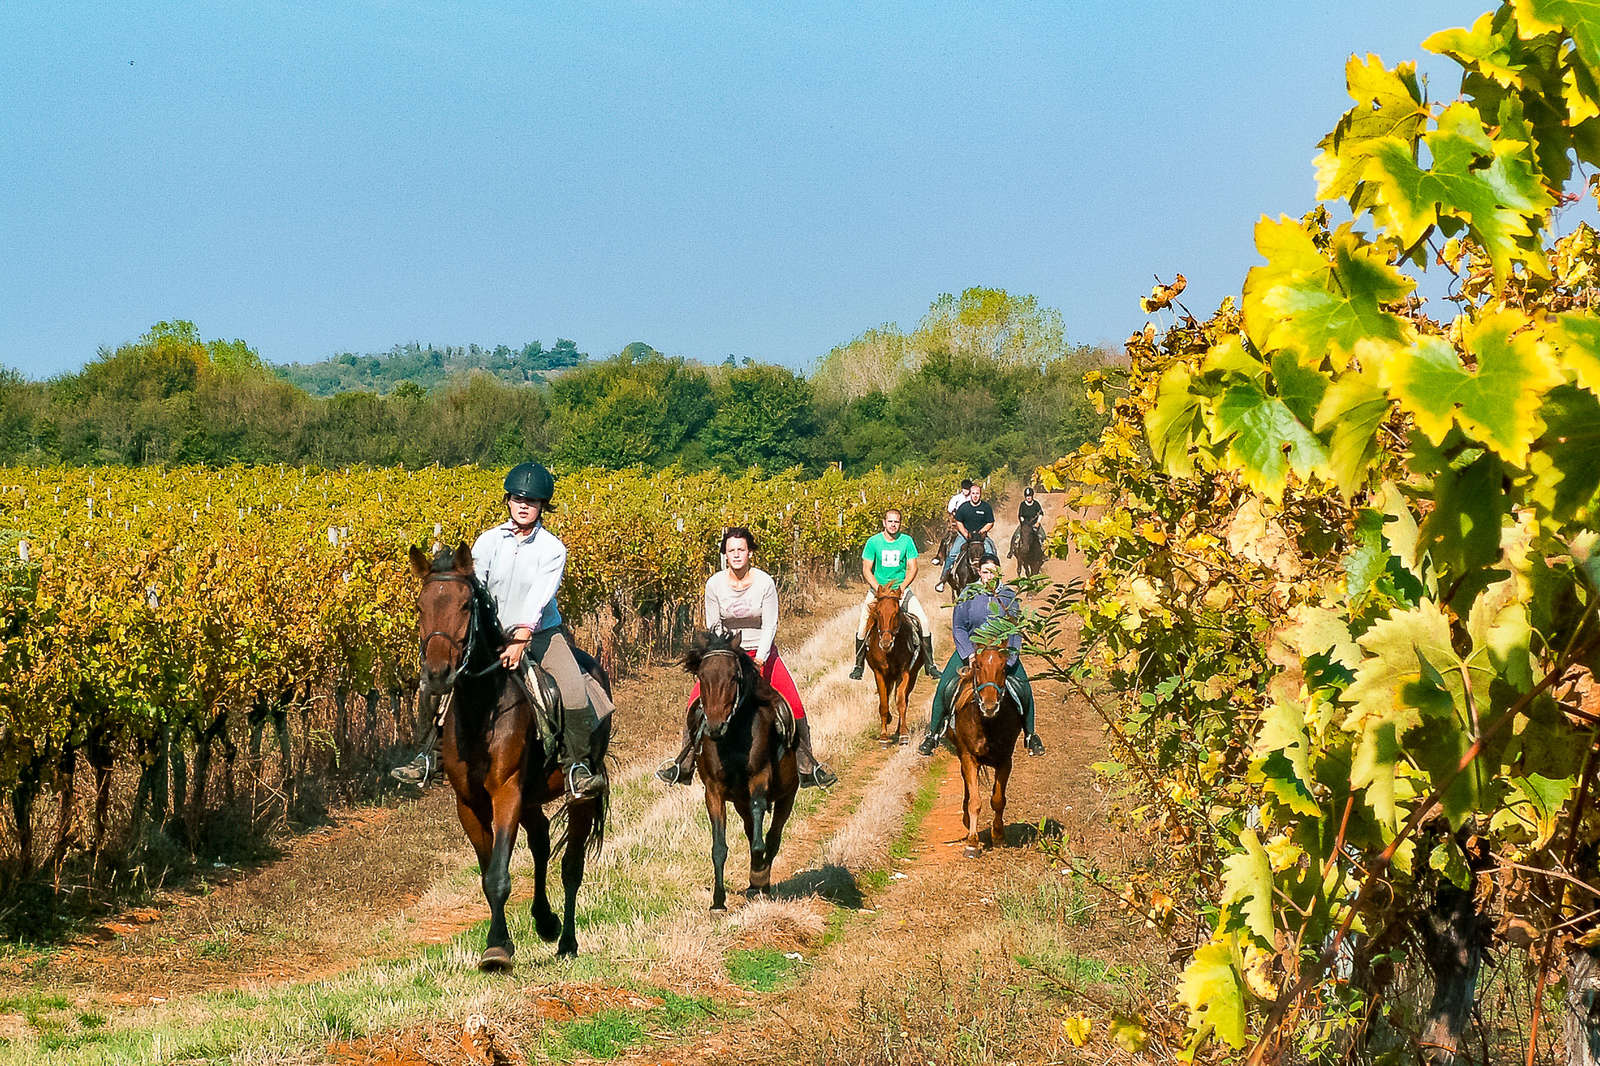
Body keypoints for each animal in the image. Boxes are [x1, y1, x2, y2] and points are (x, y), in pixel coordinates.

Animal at [409, 544, 608, 966]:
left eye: (465, 605)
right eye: (420, 605)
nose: (437, 675)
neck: (481, 708)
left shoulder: (505, 792)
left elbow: (499, 873)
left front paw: (498, 950)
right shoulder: (470, 803)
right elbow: (488, 873)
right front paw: (500, 942)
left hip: (578, 795)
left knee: (571, 866)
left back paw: (567, 941)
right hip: (529, 796)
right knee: (542, 842)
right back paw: (545, 922)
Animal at [681, 627, 800, 909]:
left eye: (734, 677)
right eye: (702, 676)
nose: (715, 727)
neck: (733, 737)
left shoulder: (759, 779)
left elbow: (760, 842)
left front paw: (758, 876)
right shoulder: (713, 791)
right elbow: (719, 847)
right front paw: (718, 902)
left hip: (787, 796)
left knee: (773, 837)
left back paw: (762, 883)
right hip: (739, 802)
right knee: (751, 831)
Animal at [864, 585, 928, 742]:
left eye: (896, 613)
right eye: (878, 612)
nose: (885, 643)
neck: (890, 653)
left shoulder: (904, 672)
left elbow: (901, 702)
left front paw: (903, 734)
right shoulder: (879, 673)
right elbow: (884, 703)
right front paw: (883, 735)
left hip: (913, 675)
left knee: (904, 698)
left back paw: (899, 730)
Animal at [947, 640, 1024, 857]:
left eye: (1003, 667)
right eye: (978, 666)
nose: (989, 706)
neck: (987, 724)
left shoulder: (1005, 760)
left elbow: (998, 800)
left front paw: (998, 836)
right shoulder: (968, 757)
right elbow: (975, 801)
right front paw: (972, 843)